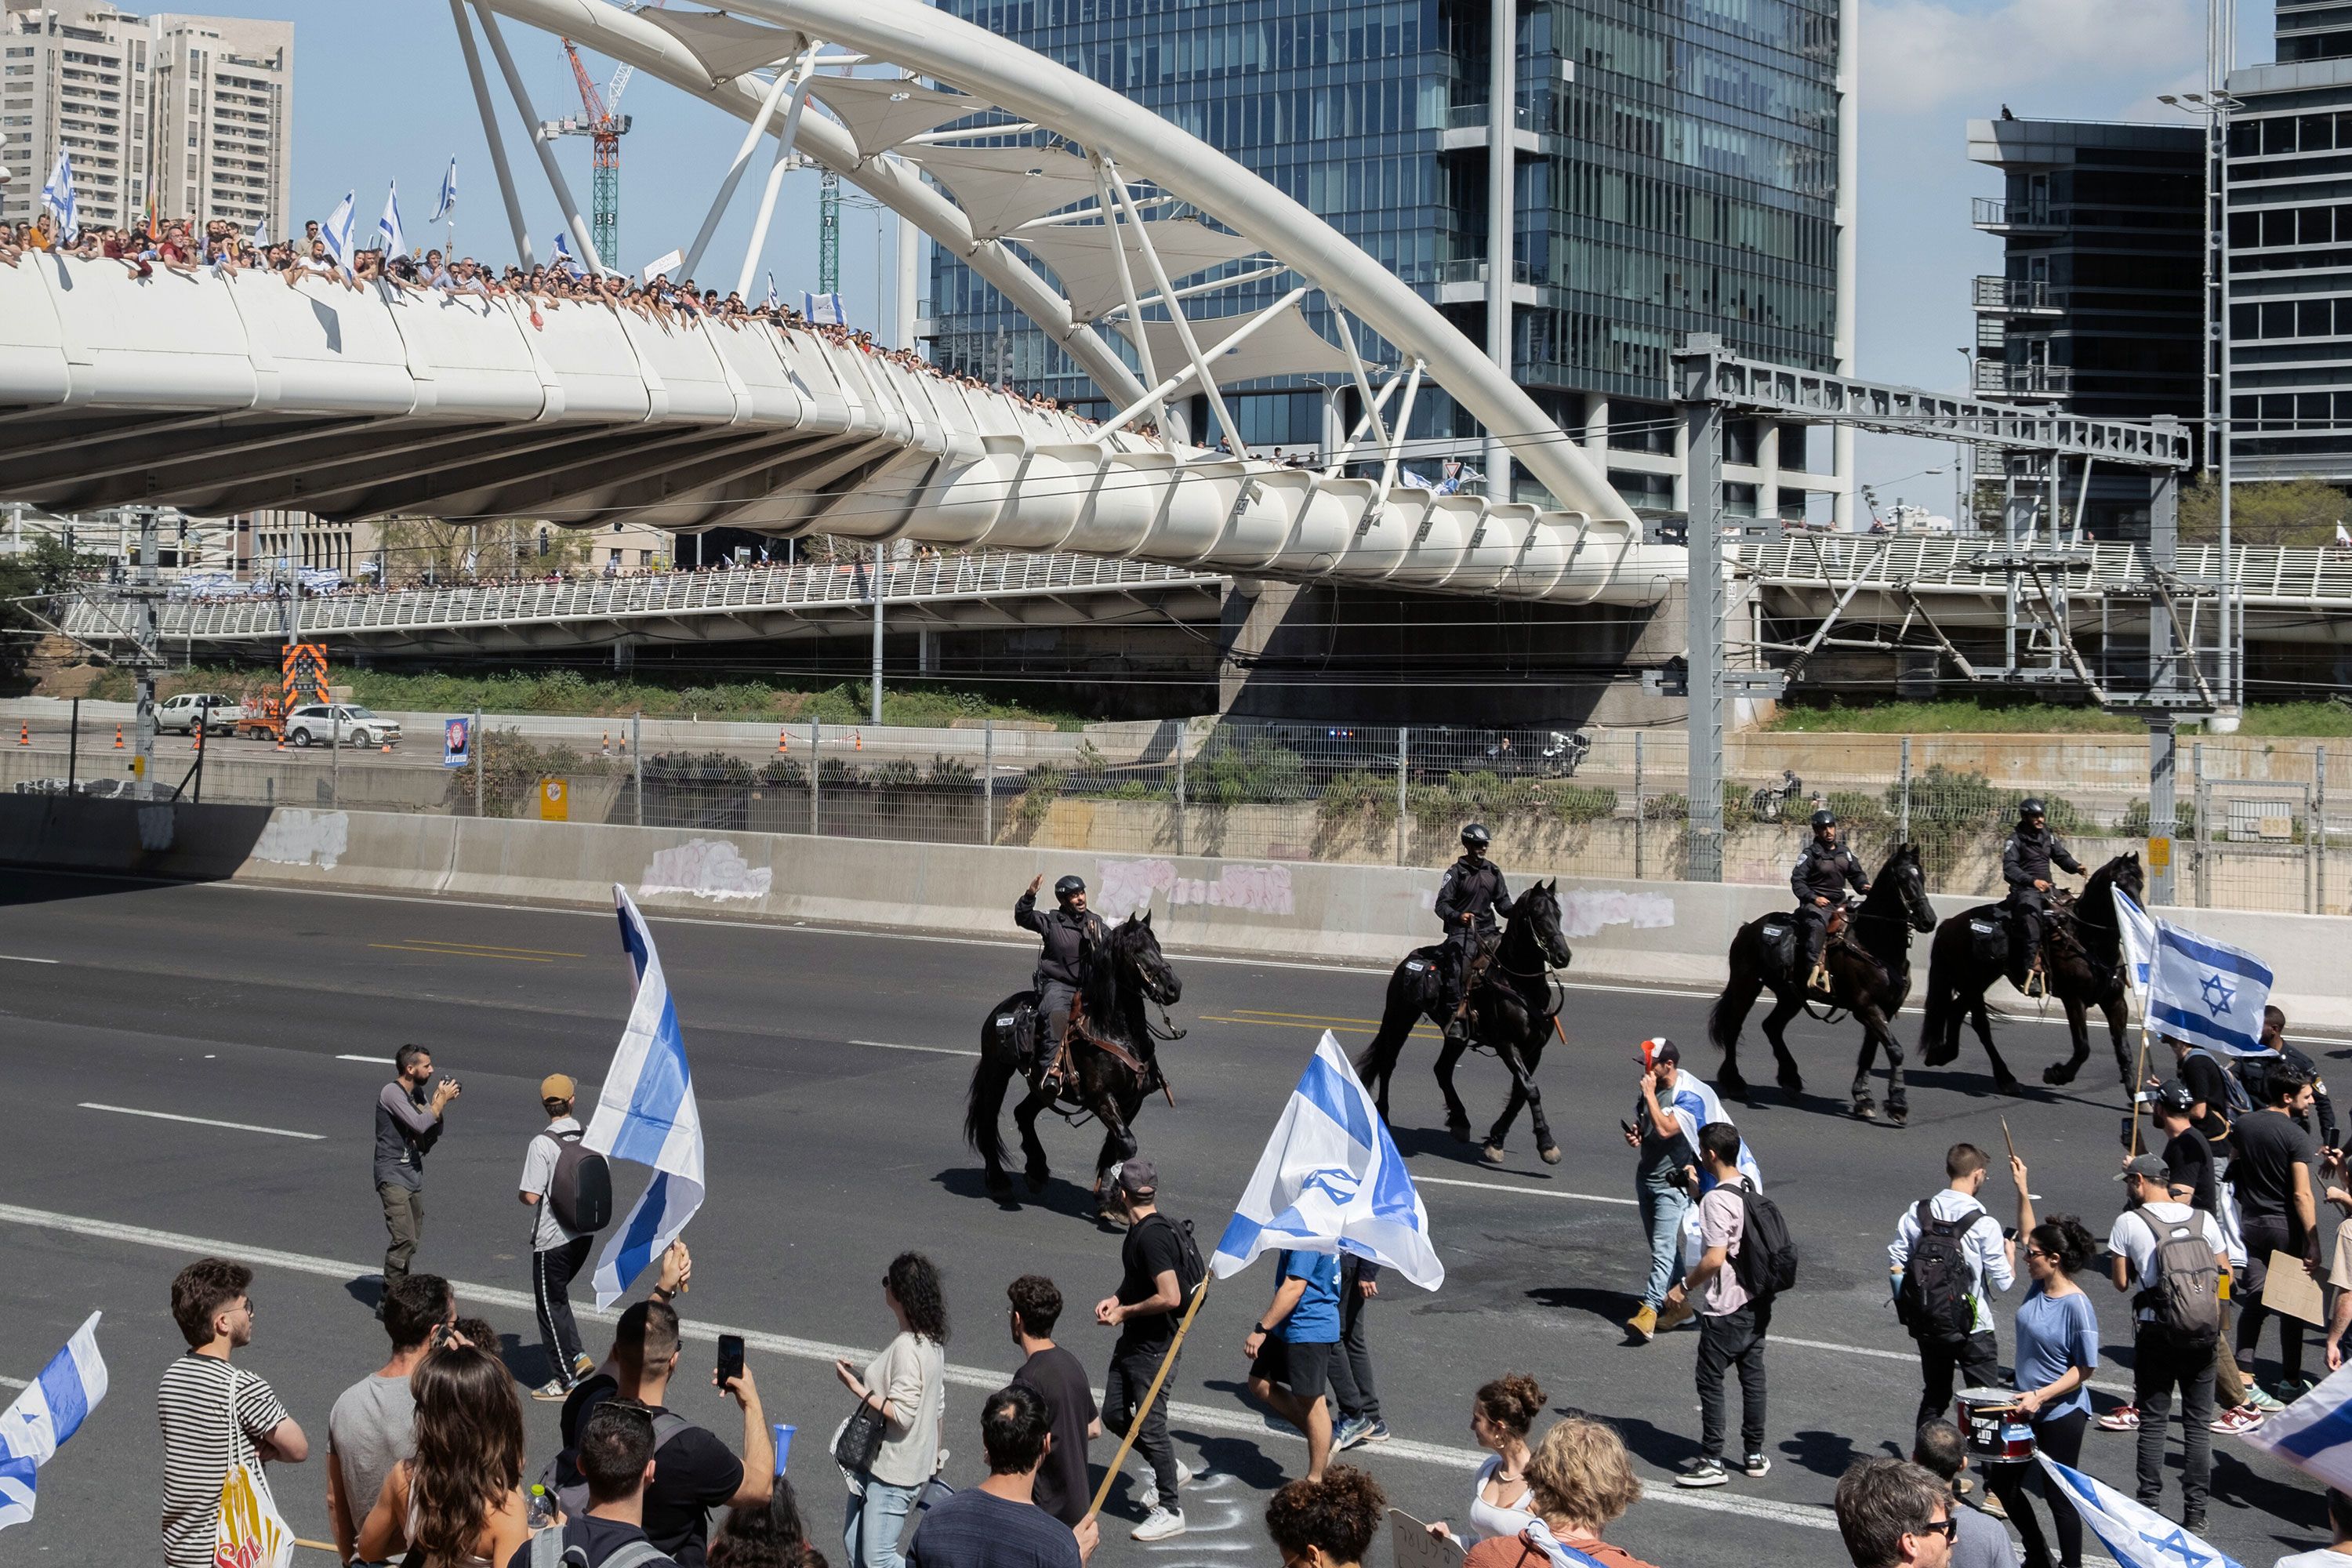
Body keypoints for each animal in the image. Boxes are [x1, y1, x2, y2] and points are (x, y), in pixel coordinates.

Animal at [960, 902, 1176, 1222]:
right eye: (1137, 951)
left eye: (1158, 946)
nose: (1173, 987)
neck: (1113, 1030)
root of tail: (1002, 1008)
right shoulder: (1101, 1097)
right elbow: (1126, 1143)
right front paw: (1111, 1197)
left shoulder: (1132, 1100)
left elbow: (1116, 1145)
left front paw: (1109, 1201)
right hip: (997, 1072)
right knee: (989, 1121)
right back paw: (999, 1182)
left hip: (1042, 1087)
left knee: (1023, 1113)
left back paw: (1036, 1171)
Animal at [1355, 884, 1571, 1166]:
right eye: (1537, 914)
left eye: (1558, 913)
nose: (1563, 956)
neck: (1520, 984)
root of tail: (1408, 960)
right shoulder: (1506, 1044)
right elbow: (1530, 1089)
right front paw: (1547, 1144)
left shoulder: (1534, 1049)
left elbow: (1520, 1093)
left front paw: (1496, 1140)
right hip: (1399, 1017)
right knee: (1388, 1063)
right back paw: (1384, 1115)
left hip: (1457, 1036)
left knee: (1442, 1070)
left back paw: (1460, 1121)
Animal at [1703, 851, 1938, 1123]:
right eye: (1902, 878)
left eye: (1922, 876)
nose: (1928, 920)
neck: (1874, 943)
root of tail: (1747, 928)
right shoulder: (1867, 1007)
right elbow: (1895, 1050)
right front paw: (1898, 1104)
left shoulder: (1883, 1010)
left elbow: (1869, 1053)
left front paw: (1863, 1099)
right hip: (1746, 986)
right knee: (1733, 1028)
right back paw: (1736, 1083)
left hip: (1790, 996)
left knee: (1772, 1027)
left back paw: (1790, 1080)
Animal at [1919, 851, 2145, 1100]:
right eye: (2120, 885)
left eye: (2140, 884)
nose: (2140, 917)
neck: (2086, 940)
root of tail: (1950, 924)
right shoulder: (2073, 999)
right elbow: (2083, 1048)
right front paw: (2056, 1074)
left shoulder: (2115, 1001)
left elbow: (2123, 1048)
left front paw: (2136, 1095)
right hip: (1973, 983)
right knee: (1980, 1025)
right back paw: (2005, 1078)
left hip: (1976, 983)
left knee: (1956, 1010)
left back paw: (1943, 1054)